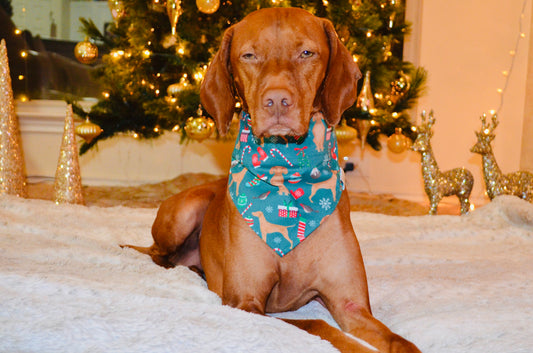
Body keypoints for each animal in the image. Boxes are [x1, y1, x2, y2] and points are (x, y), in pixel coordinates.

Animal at [122, 8, 422, 352]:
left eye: (306, 53)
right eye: (249, 55)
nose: (277, 101)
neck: (287, 182)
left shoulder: (351, 304)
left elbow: (398, 340)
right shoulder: (246, 303)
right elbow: (318, 324)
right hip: (186, 211)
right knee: (157, 254)